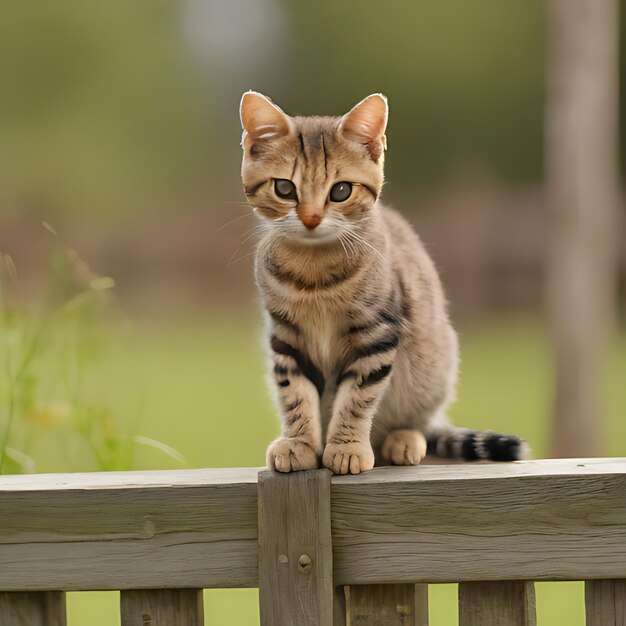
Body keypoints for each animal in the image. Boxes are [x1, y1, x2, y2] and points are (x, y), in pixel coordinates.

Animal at [239, 91, 528, 472]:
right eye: (284, 188)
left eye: (341, 191)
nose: (311, 219)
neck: (313, 269)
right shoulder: (287, 338)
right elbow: (295, 393)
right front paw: (299, 442)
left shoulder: (377, 334)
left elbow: (357, 396)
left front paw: (346, 446)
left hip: (433, 369)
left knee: (418, 421)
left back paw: (403, 439)